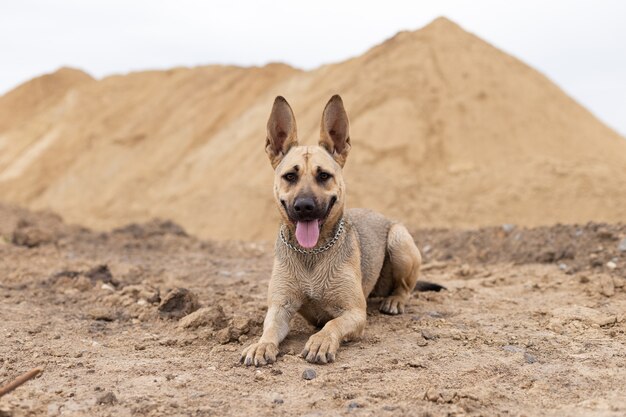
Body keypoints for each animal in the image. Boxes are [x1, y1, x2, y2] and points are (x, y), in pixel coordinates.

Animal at [239, 94, 438, 364]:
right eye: (290, 176)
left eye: (323, 175)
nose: (304, 207)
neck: (311, 254)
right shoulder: (280, 307)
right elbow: (268, 328)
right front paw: (261, 345)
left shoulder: (354, 313)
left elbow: (331, 325)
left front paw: (321, 341)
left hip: (399, 239)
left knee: (406, 287)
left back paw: (395, 300)